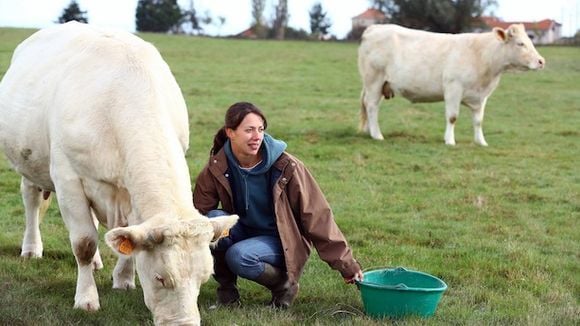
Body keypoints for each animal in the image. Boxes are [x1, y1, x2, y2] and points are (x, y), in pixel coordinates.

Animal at [0, 21, 238, 324]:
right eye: (161, 278)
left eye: (204, 278)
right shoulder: (68, 180)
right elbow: (84, 242)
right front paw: (86, 299)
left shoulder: (129, 192)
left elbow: (129, 237)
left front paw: (123, 279)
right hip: (29, 160)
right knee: (31, 201)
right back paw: (31, 249)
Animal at [358, 23, 544, 145]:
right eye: (520, 43)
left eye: (530, 41)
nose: (541, 61)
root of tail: (374, 28)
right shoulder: (454, 88)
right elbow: (452, 117)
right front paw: (450, 140)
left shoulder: (481, 96)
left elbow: (478, 120)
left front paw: (481, 142)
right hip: (374, 80)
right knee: (372, 105)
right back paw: (377, 135)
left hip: (380, 84)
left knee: (369, 106)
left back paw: (369, 131)